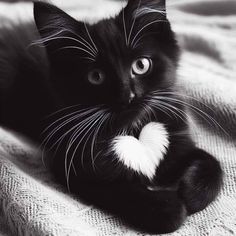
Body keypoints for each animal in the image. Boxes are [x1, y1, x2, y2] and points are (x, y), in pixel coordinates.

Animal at [0, 0, 222, 234]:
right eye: (96, 76)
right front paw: (167, 207)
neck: (132, 127)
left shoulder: (178, 136)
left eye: (141, 65)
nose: (128, 97)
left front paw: (191, 193)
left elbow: (213, 163)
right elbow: (118, 189)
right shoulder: (70, 162)